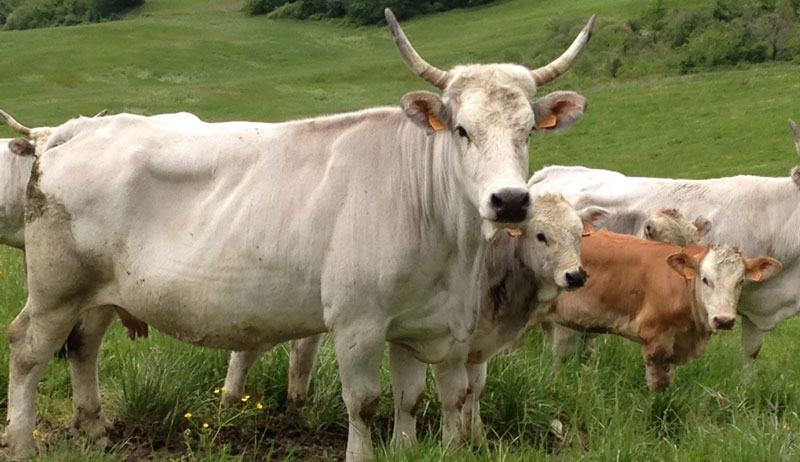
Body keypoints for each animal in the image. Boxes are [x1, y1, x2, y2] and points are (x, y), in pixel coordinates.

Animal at [3, 9, 592, 460]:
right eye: (463, 130)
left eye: (527, 130)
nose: (510, 201)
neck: (450, 251)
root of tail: (76, 130)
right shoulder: (357, 321)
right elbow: (364, 401)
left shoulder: (425, 324)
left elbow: (417, 398)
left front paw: (410, 447)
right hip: (56, 288)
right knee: (28, 349)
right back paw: (22, 441)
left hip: (99, 292)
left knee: (84, 346)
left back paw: (95, 426)